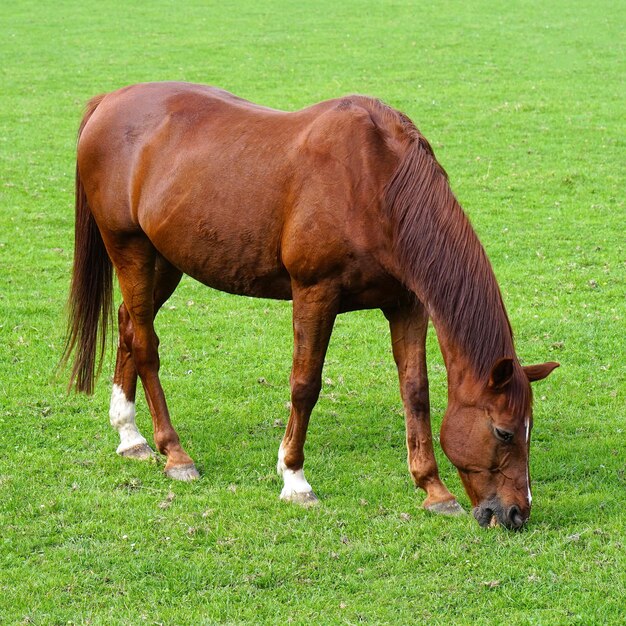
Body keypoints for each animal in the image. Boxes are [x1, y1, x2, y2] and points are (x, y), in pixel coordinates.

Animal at [62, 81, 556, 528]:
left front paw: (433, 489)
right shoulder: (315, 293)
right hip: (129, 248)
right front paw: (294, 479)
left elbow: (415, 391)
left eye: (529, 428)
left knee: (128, 325)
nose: (516, 513)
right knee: (145, 342)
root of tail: (108, 101)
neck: (376, 184)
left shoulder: (407, 304)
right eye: (504, 431)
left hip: (165, 260)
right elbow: (305, 385)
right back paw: (174, 452)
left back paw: (130, 436)